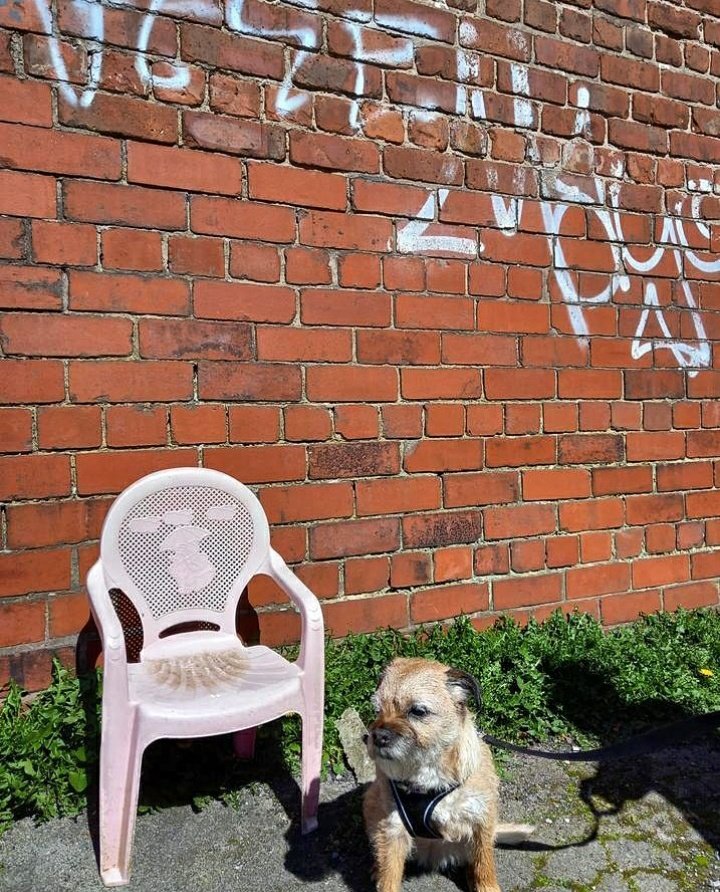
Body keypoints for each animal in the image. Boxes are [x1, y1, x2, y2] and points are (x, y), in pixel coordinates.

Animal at [362, 656, 532, 892]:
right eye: (378, 709)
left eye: (418, 711)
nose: (377, 736)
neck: (429, 771)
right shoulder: (393, 827)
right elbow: (389, 876)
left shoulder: (481, 821)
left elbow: (483, 863)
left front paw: (485, 885)